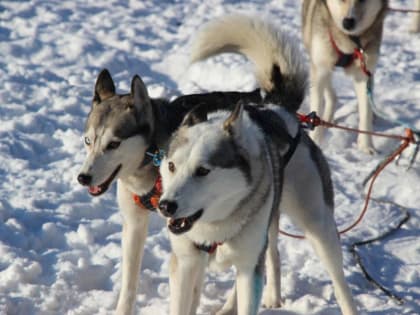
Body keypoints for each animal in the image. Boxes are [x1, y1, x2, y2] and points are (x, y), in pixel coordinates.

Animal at [159, 14, 356, 315]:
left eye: (203, 170)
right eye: (171, 166)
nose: (165, 206)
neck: (214, 228)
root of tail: (280, 109)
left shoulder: (249, 267)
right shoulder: (185, 264)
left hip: (318, 226)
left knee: (339, 282)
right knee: (272, 255)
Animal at [302, 0, 388, 153]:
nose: (347, 22)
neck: (349, 41)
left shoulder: (364, 73)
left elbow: (366, 112)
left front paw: (366, 146)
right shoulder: (320, 67)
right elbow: (316, 108)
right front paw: (315, 141)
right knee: (329, 91)